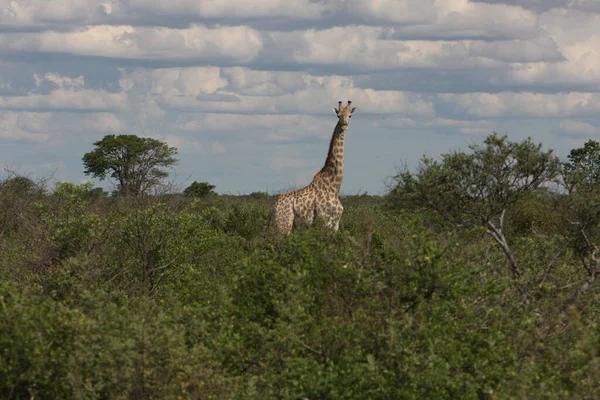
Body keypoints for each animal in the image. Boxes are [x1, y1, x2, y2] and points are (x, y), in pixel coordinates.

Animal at [268, 100, 356, 236]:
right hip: (284, 226)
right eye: (338, 116)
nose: (344, 125)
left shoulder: (335, 224)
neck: (334, 186)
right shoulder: (324, 220)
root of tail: (272, 209)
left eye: (350, 116)